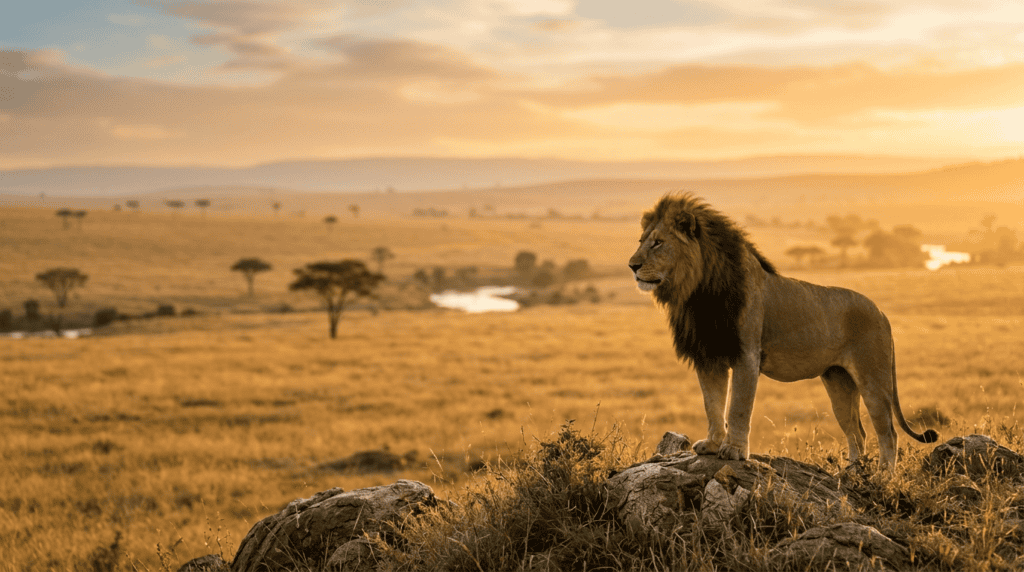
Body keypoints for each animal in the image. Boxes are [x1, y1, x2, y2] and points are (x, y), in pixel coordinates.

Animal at [629, 193, 938, 470]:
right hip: (838, 381)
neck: (698, 293)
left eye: (658, 243)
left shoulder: (746, 355)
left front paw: (734, 451)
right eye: (641, 242)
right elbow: (713, 405)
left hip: (873, 377)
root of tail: (881, 312)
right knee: (857, 432)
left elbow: (738, 407)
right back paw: (851, 474)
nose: (632, 265)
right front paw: (713, 444)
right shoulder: (709, 356)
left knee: (888, 433)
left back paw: (882, 477)